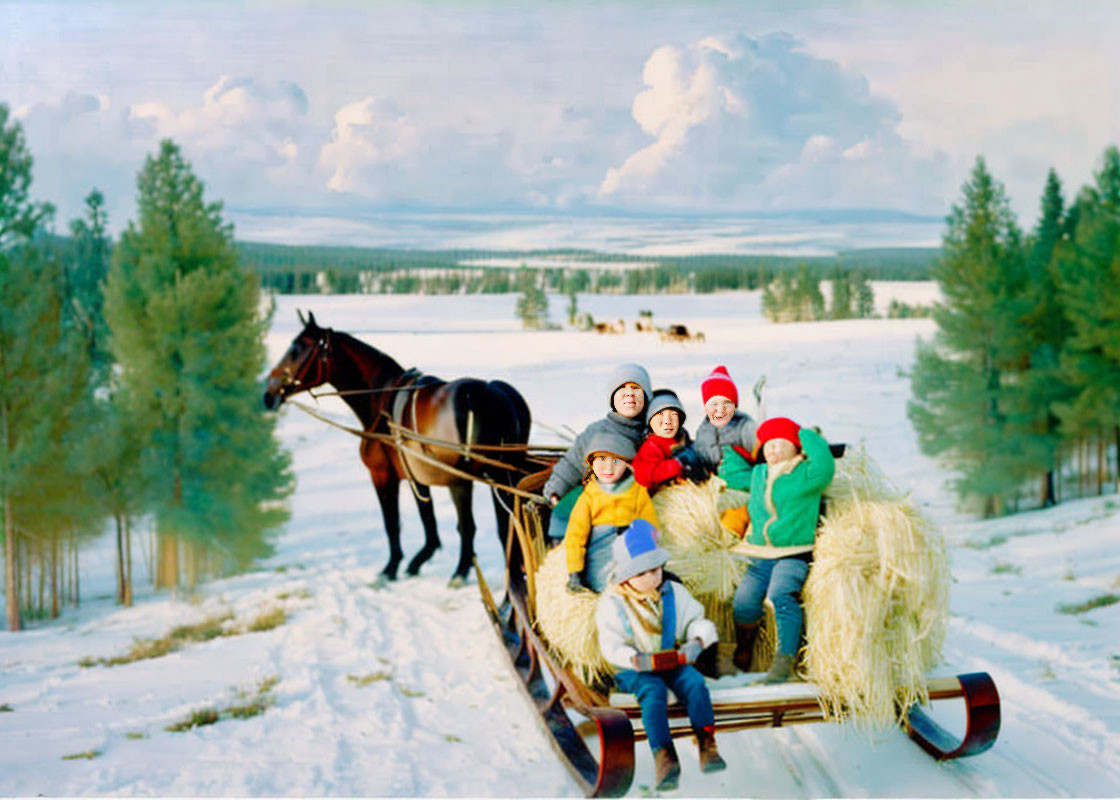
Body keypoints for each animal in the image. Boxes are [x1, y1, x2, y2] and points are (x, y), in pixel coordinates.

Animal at [262, 309, 533, 587]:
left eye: (297, 349)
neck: (381, 400)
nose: (269, 393)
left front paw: (391, 567)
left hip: (463, 481)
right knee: (506, 528)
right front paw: (417, 561)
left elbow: (392, 524)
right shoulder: (416, 477)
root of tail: (500, 395)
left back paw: (461, 572)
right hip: (499, 476)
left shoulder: (382, 475)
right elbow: (428, 521)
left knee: (469, 527)